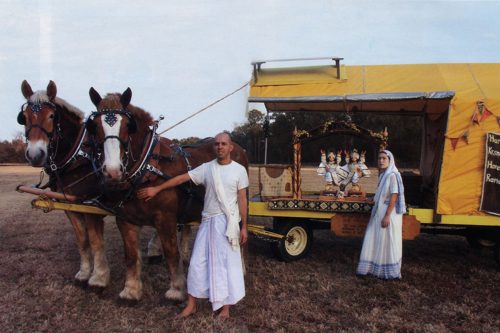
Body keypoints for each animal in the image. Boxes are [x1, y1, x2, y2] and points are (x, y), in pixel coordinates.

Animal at [17, 81, 110, 288]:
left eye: (52, 116)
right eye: (24, 117)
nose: (35, 154)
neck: (78, 156)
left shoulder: (89, 205)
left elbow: (96, 241)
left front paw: (99, 277)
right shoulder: (70, 205)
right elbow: (83, 240)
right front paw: (84, 273)